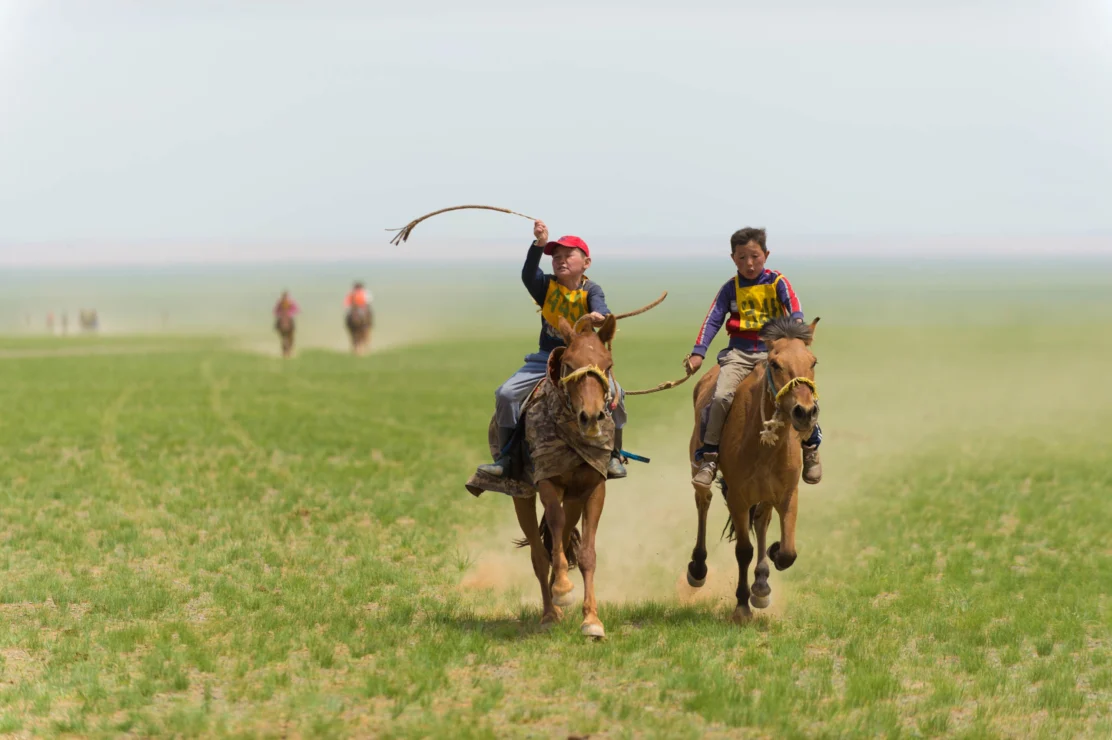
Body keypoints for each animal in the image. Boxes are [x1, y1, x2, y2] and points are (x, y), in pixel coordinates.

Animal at [511, 311, 618, 636]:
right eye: (569, 364)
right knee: (539, 554)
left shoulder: (594, 487)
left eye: (608, 365)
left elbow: (586, 554)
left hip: (573, 498)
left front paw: (592, 621)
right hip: (521, 494)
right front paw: (561, 589)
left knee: (565, 536)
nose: (591, 417)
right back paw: (550, 612)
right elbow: (554, 529)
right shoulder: (547, 481)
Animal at [684, 313, 818, 618]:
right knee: (703, 502)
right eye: (775, 364)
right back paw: (697, 569)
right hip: (700, 472)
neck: (765, 446)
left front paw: (768, 567)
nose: (805, 412)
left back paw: (762, 583)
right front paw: (742, 605)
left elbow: (788, 552)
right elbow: (743, 551)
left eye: (813, 361)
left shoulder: (786, 494)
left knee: (761, 522)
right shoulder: (738, 497)